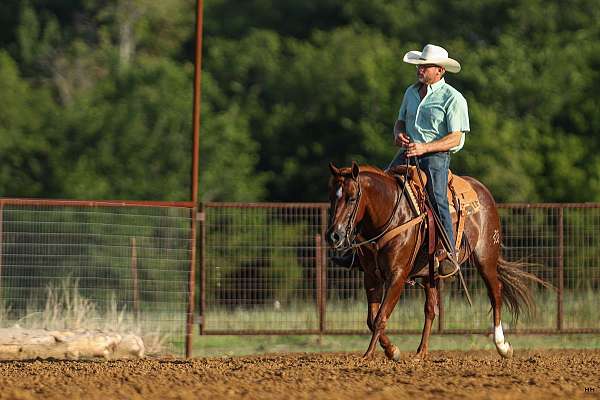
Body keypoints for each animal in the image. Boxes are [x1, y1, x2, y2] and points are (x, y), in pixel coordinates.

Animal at [326, 161, 548, 360]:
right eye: (331, 199)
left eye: (352, 198)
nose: (333, 236)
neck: (391, 215)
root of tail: (482, 190)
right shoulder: (371, 277)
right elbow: (372, 319)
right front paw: (389, 350)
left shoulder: (398, 275)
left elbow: (380, 316)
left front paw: (371, 355)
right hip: (430, 275)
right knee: (431, 310)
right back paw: (421, 352)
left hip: (486, 258)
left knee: (496, 293)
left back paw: (502, 346)